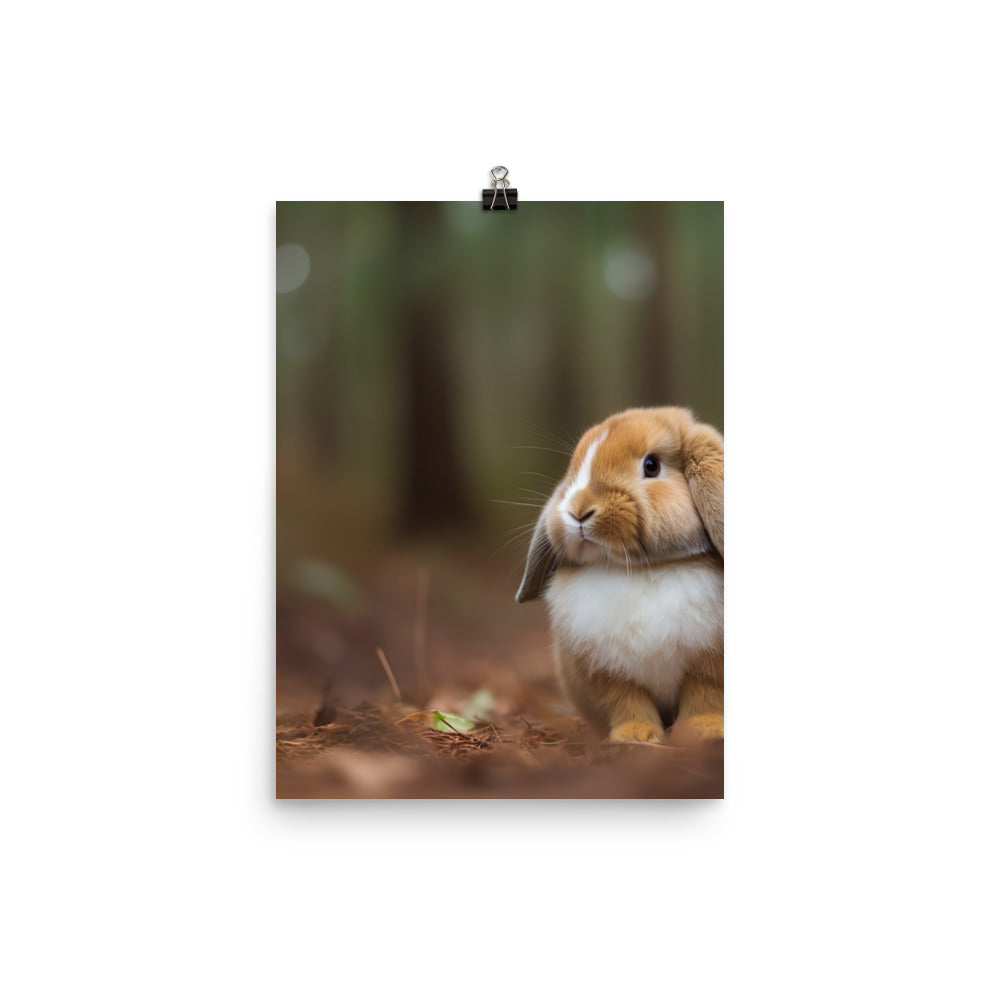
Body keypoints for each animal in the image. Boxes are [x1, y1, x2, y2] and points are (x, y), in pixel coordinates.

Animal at [516, 407, 723, 743]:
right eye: (575, 471)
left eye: (652, 466)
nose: (579, 511)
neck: (641, 569)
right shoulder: (609, 673)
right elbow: (628, 703)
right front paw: (634, 738)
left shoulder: (707, 665)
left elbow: (705, 696)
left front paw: (704, 732)